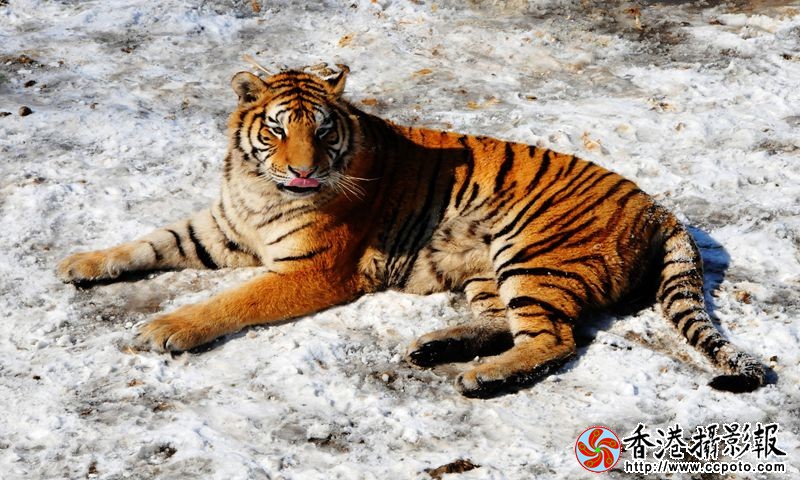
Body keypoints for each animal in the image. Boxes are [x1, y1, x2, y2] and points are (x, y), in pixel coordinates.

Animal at [57, 64, 766, 398]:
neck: (258, 188)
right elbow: (146, 242)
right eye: (277, 129)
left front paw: (164, 328)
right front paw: (80, 263)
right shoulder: (217, 229)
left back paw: (481, 378)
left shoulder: (313, 269)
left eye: (323, 131)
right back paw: (435, 347)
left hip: (531, 255)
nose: (304, 170)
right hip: (486, 269)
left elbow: (232, 301)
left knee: (555, 339)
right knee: (506, 323)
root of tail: (659, 207)